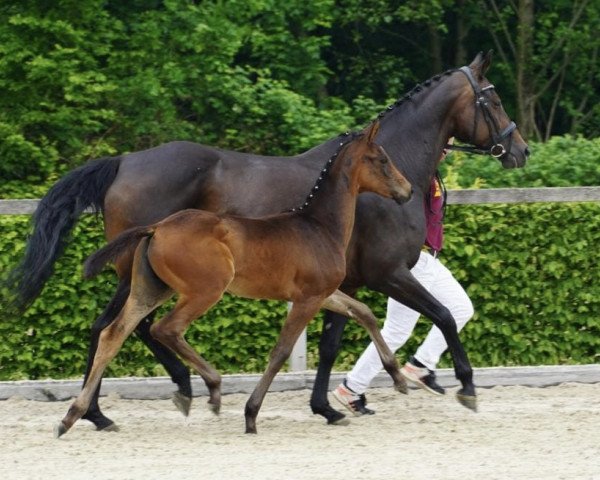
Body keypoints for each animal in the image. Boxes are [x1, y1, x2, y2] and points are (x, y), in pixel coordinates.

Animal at [55, 121, 412, 436]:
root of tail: (157, 227)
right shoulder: (307, 299)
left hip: (151, 289)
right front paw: (251, 415)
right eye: (382, 159)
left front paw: (398, 378)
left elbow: (364, 313)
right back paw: (209, 389)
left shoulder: (324, 293)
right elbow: (281, 351)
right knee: (165, 328)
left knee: (113, 333)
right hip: (205, 291)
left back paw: (73, 416)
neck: (319, 226)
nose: (407, 190)